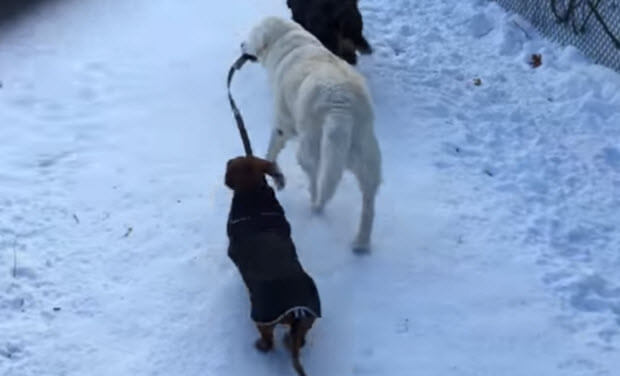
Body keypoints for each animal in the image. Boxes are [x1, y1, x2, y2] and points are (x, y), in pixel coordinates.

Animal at [225, 154, 322, 374]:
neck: (253, 193)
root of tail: (296, 311)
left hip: (262, 319)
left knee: (269, 342)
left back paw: (260, 346)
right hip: (307, 321)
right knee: (298, 341)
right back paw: (289, 340)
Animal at [241, 16, 378, 253]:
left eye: (250, 36)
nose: (241, 45)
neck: (288, 41)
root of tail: (341, 106)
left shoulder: (282, 123)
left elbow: (271, 150)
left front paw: (271, 173)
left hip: (309, 147)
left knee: (316, 182)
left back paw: (315, 206)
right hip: (364, 155)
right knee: (368, 201)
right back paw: (361, 243)